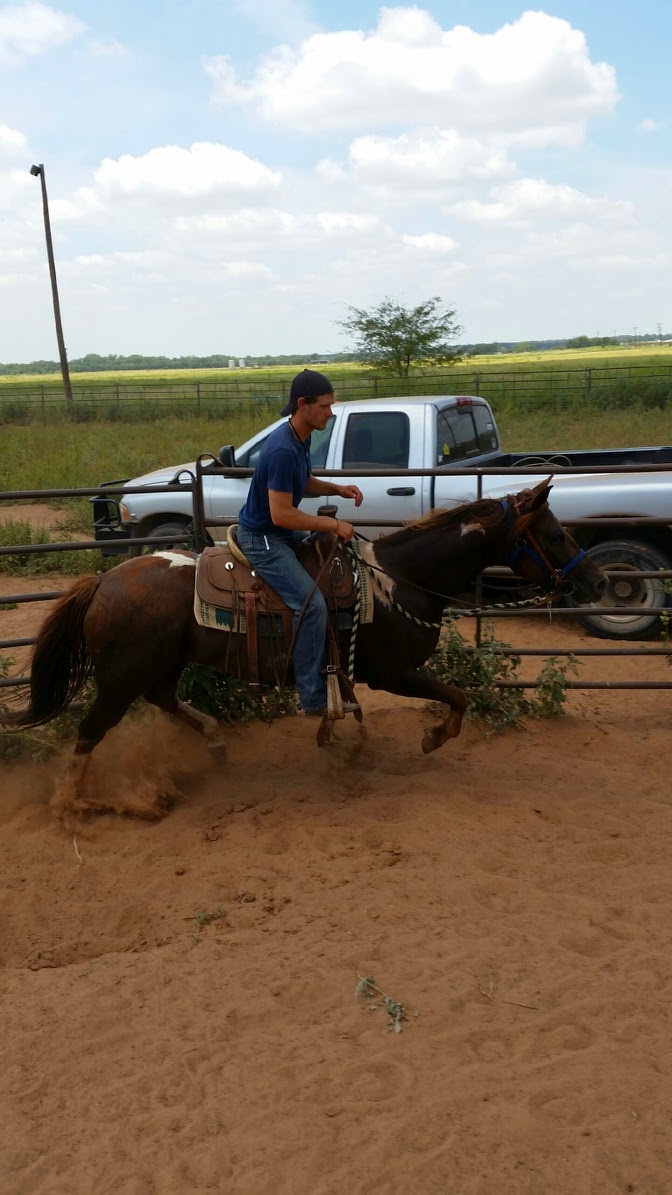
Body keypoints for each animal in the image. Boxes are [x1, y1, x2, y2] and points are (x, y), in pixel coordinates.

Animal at [4, 480, 606, 813]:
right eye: (556, 535)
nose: (598, 581)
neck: (396, 581)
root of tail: (103, 582)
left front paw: (336, 739)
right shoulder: (393, 673)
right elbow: (456, 697)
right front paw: (431, 737)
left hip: (160, 666)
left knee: (163, 700)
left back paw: (215, 741)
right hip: (121, 678)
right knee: (91, 731)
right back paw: (78, 805)